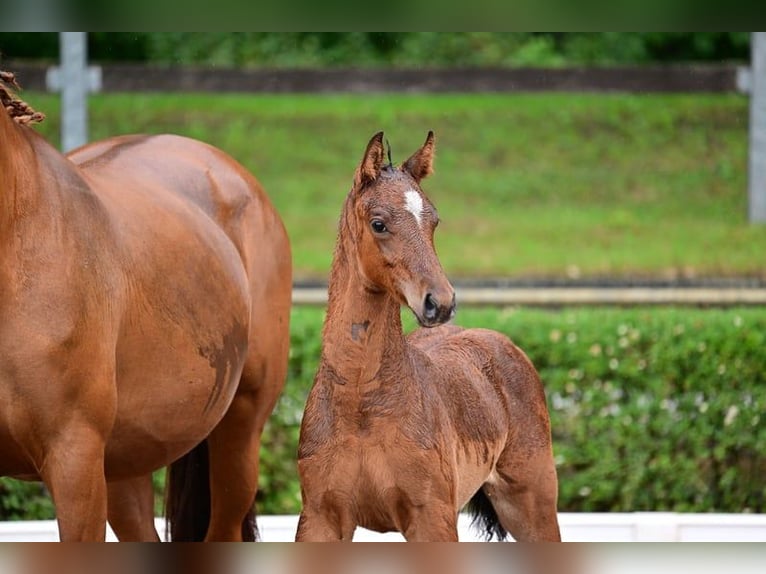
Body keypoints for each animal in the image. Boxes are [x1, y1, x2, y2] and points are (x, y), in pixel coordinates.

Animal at [295, 131, 561, 542]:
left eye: (433, 221)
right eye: (378, 223)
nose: (441, 301)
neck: (360, 405)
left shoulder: (431, 517)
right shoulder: (320, 518)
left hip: (532, 504)